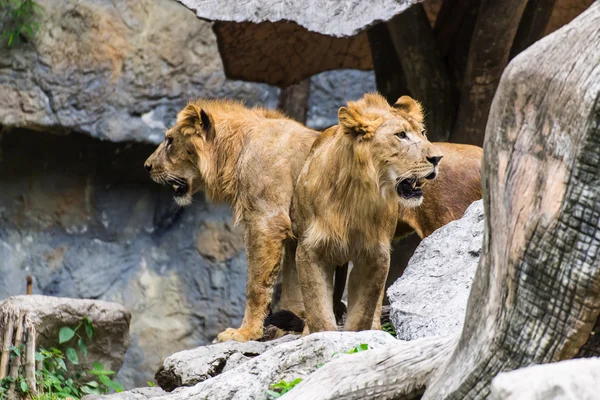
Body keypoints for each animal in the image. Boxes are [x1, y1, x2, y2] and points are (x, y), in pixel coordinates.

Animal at [144, 98, 318, 342]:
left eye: (170, 140)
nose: (146, 166)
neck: (236, 150)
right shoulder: (292, 229)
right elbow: (295, 283)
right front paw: (287, 328)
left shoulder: (266, 220)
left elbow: (255, 285)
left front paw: (245, 333)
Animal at [290, 93, 440, 332]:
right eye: (401, 135)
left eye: (423, 133)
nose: (438, 158)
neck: (356, 198)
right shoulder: (309, 251)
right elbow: (318, 309)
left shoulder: (375, 255)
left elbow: (362, 312)